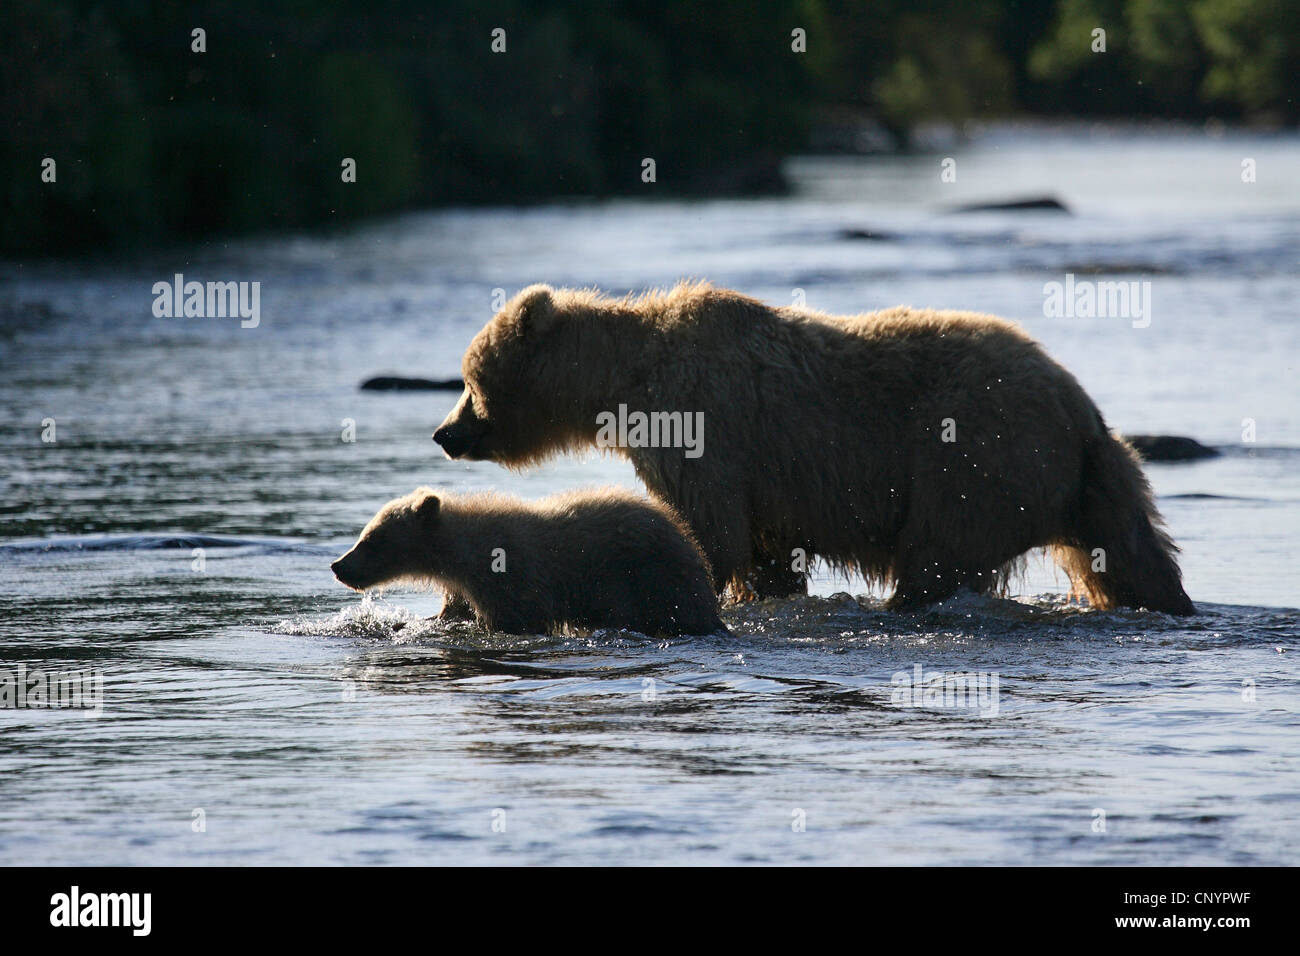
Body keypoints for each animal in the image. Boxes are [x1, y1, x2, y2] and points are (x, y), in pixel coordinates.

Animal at [434, 280, 1196, 616]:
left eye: (470, 381)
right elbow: (762, 553)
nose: (444, 433)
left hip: (976, 454)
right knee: (1130, 551)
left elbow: (707, 531)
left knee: (938, 553)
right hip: (1086, 477)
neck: (624, 381)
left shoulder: (702, 424)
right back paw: (1168, 602)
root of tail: (1077, 403)